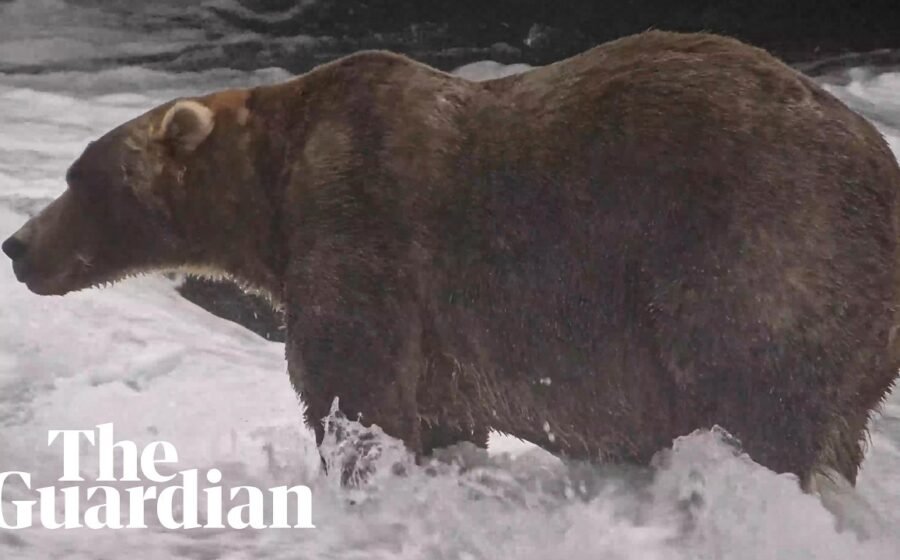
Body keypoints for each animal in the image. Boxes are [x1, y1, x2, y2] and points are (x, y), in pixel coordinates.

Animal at [4, 30, 900, 490]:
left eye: (79, 176)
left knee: (759, 393)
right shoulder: (439, 333)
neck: (271, 194)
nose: (16, 244)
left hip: (757, 245)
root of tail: (880, 165)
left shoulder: (363, 226)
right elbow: (437, 413)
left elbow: (353, 386)